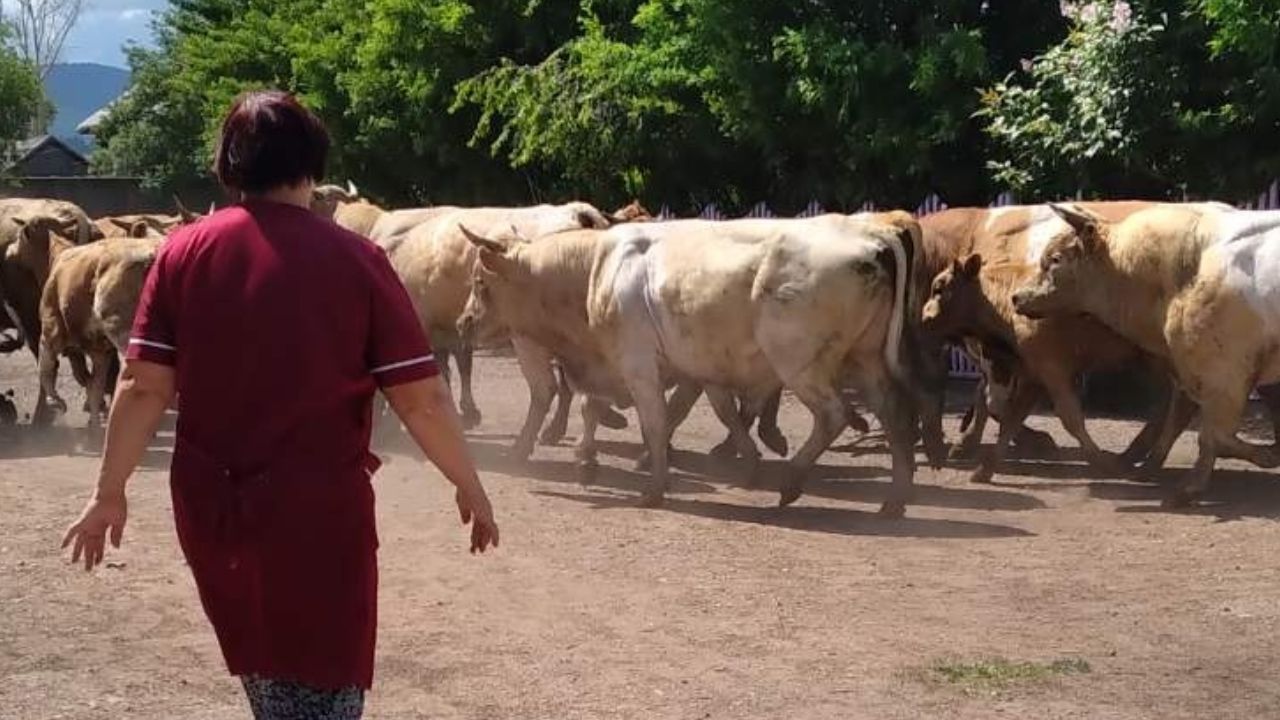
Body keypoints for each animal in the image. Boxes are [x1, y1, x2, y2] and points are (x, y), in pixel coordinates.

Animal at [39, 235, 161, 425]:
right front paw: (94, 423)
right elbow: (96, 385)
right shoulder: (100, 349)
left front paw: (57, 402)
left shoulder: (51, 328)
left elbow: (46, 366)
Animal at [1013, 202, 1280, 504]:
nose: (1017, 297)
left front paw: (1266, 457)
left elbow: (1214, 435)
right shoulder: (1190, 373)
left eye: (1056, 259)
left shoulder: (1224, 375)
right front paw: (1164, 474)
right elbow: (1182, 424)